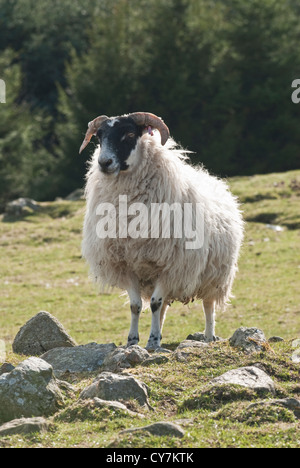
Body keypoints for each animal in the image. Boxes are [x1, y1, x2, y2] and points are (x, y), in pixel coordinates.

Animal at [79, 111, 244, 350]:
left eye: (130, 134)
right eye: (100, 136)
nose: (104, 163)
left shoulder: (171, 265)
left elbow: (155, 304)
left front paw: (154, 341)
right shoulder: (126, 265)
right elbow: (136, 305)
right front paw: (133, 341)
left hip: (214, 275)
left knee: (208, 305)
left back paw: (208, 337)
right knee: (163, 306)